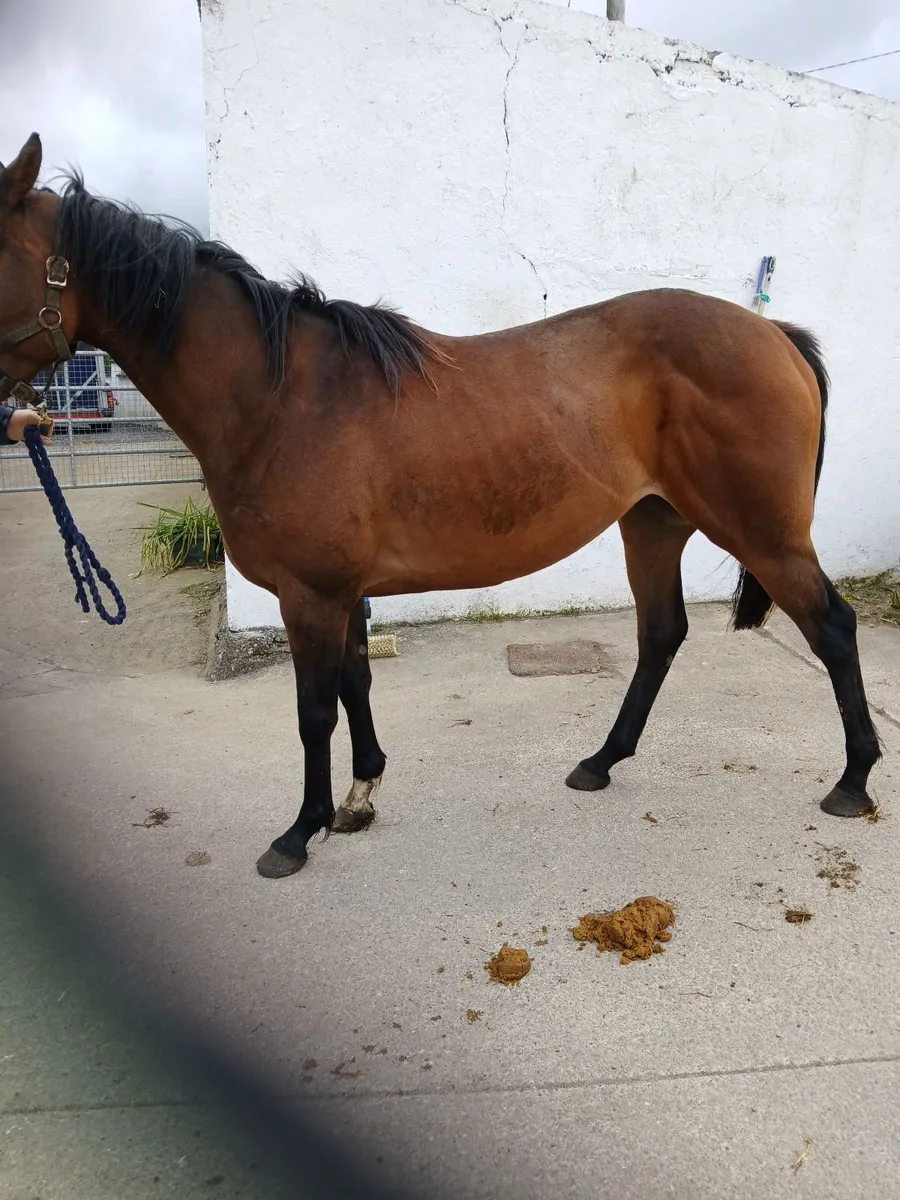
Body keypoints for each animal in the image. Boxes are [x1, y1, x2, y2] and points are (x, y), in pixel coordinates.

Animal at [0, 133, 880, 880]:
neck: (284, 398)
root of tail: (776, 335)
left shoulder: (310, 595)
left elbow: (313, 710)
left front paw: (299, 832)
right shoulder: (342, 592)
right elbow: (355, 685)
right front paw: (358, 799)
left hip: (765, 533)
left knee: (831, 626)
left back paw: (853, 779)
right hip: (654, 522)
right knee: (661, 635)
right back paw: (600, 762)